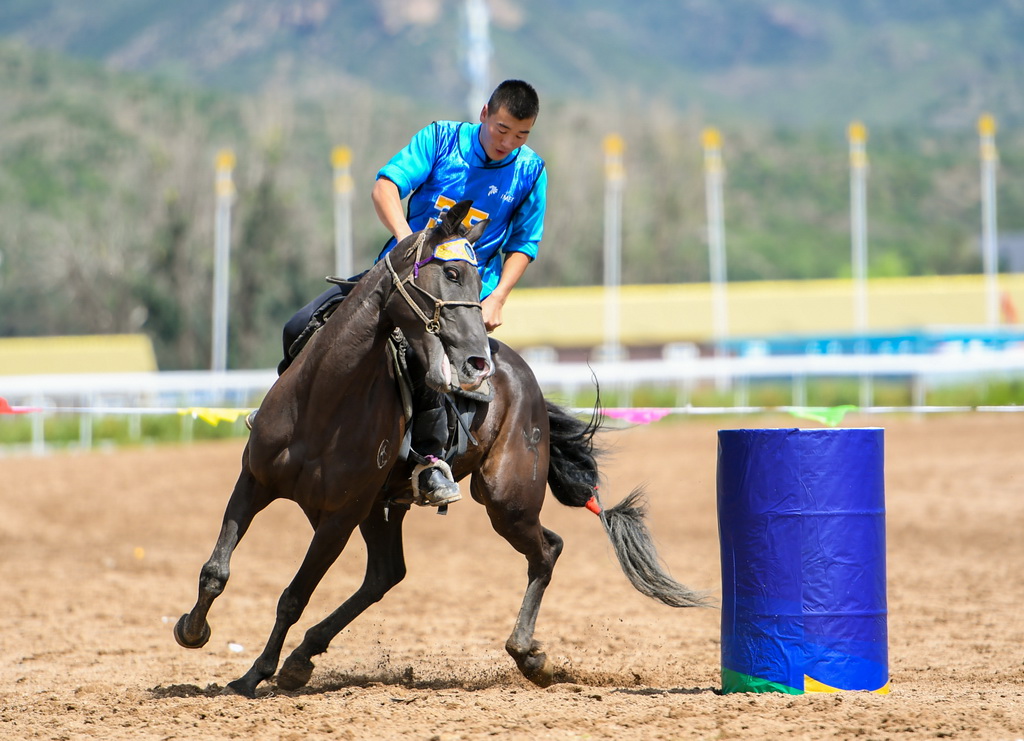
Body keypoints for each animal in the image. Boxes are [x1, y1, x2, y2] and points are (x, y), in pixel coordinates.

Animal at [172, 199, 708, 695]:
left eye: (476, 279)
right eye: (451, 273)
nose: (476, 360)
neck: (323, 400)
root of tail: (523, 376)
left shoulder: (338, 517)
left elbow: (293, 595)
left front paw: (254, 673)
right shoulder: (255, 481)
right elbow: (216, 569)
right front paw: (193, 631)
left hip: (504, 501)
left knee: (546, 550)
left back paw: (528, 655)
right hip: (384, 508)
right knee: (386, 574)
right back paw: (303, 657)